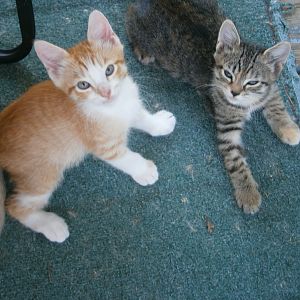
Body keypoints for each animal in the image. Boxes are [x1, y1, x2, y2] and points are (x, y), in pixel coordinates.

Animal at [0, 10, 176, 243]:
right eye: (83, 85)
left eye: (109, 70)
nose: (106, 93)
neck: (113, 108)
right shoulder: (104, 146)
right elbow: (126, 158)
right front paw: (144, 170)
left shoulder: (128, 104)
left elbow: (141, 117)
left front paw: (159, 123)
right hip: (41, 175)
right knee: (14, 206)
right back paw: (51, 225)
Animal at [126, 0, 300, 216]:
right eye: (228, 74)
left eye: (252, 82)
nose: (234, 92)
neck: (246, 103)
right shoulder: (226, 128)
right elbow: (236, 161)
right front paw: (248, 193)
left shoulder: (271, 89)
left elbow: (276, 104)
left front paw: (288, 128)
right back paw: (143, 51)